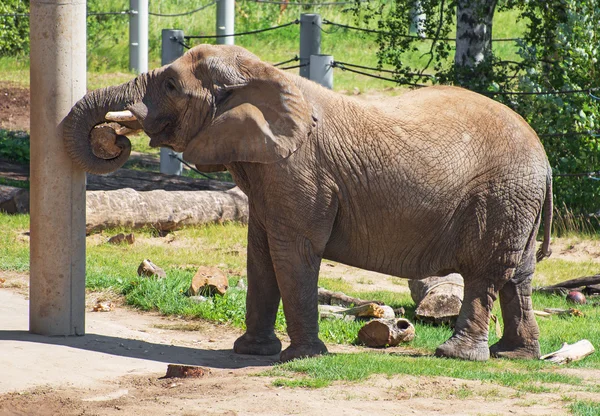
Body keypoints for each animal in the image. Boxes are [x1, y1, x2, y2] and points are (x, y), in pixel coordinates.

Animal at [62, 44, 552, 362]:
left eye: (168, 84)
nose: (115, 138)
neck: (262, 74)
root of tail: (545, 159)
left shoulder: (299, 171)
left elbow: (293, 252)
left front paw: (302, 358)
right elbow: (260, 252)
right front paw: (250, 352)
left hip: (500, 197)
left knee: (484, 274)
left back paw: (456, 356)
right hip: (517, 201)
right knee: (518, 276)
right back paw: (516, 356)